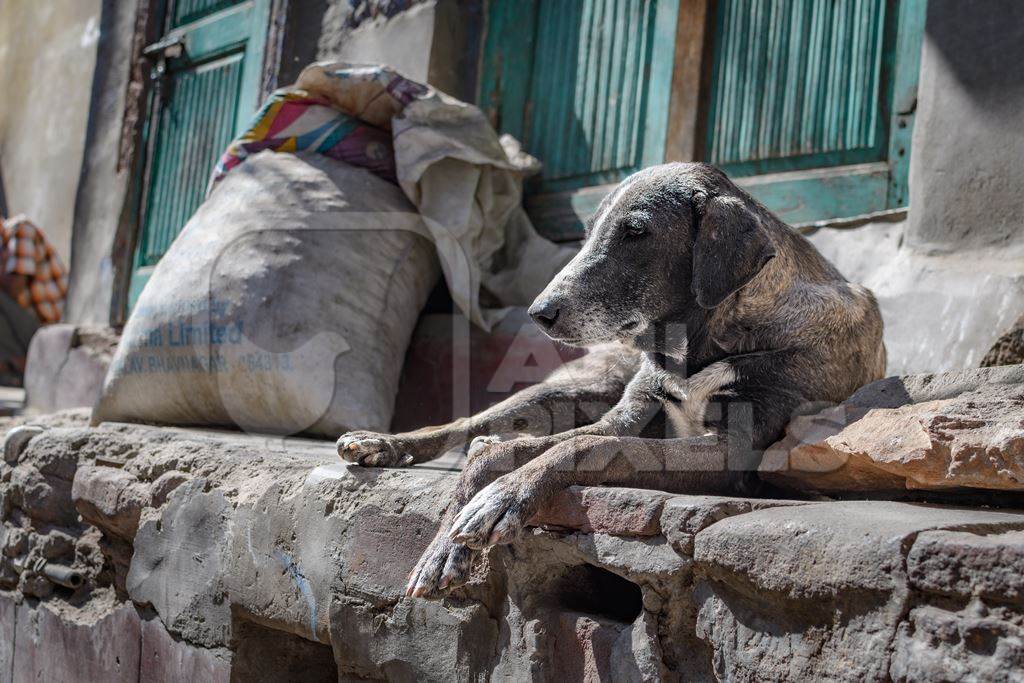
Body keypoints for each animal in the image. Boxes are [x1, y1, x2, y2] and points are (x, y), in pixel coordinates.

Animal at [337, 161, 888, 598]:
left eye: (636, 232)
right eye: (591, 230)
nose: (539, 313)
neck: (702, 342)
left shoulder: (729, 449)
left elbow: (579, 448)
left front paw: (501, 497)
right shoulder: (626, 415)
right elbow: (527, 449)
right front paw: (447, 540)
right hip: (571, 388)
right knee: (470, 424)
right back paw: (382, 444)